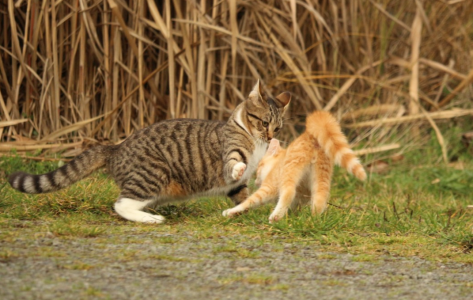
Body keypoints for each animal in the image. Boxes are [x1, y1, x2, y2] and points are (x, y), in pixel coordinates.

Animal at [7, 81, 290, 224]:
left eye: (277, 127)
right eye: (264, 123)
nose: (270, 137)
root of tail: (116, 147)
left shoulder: (236, 187)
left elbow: (242, 197)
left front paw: (243, 210)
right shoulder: (230, 154)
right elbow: (233, 163)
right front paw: (240, 168)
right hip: (152, 174)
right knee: (121, 204)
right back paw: (150, 219)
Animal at [221, 110, 366, 223]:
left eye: (259, 168)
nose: (256, 181)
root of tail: (311, 136)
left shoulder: (270, 186)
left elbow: (249, 202)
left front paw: (231, 212)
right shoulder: (301, 198)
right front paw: (293, 216)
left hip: (290, 170)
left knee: (289, 191)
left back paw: (276, 216)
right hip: (321, 177)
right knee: (320, 198)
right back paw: (313, 220)